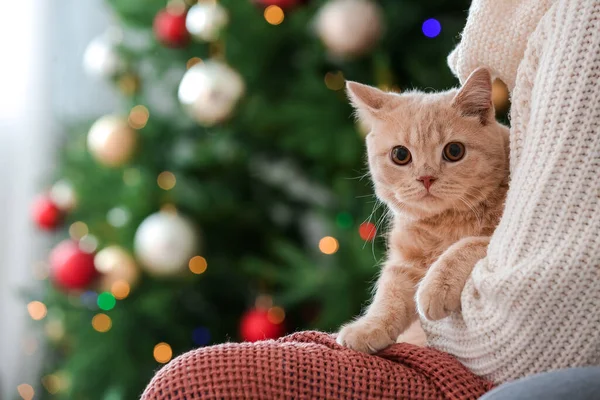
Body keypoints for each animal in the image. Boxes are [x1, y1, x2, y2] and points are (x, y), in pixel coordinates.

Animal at [336, 68, 508, 354]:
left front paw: (436, 285)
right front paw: (369, 327)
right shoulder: (405, 261)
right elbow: (389, 292)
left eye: (454, 151)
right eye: (400, 155)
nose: (426, 178)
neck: (446, 221)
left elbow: (469, 244)